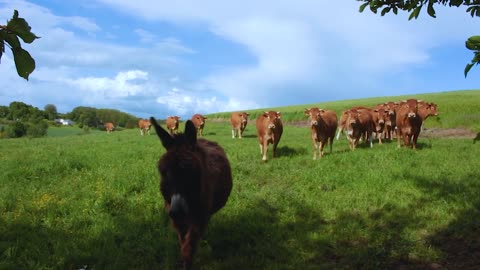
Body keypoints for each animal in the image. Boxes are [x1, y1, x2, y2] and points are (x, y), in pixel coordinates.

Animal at [150, 116, 232, 270]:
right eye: (163, 172)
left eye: (192, 171)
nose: (177, 212)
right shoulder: (176, 219)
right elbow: (184, 243)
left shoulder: (199, 217)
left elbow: (190, 246)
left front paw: (187, 263)